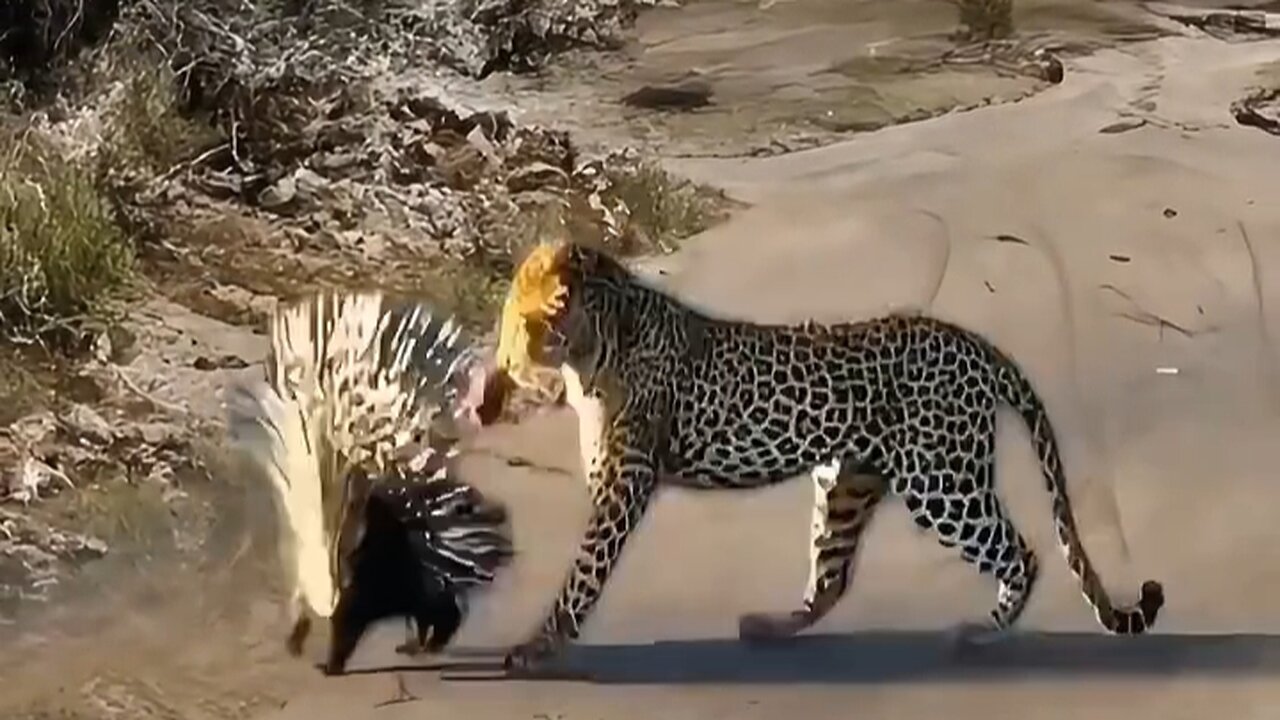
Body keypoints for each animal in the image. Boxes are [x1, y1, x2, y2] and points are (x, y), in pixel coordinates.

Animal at [486, 239, 1165, 673]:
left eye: (525, 324)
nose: (506, 364)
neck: (598, 341)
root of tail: (977, 345)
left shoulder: (622, 486)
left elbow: (583, 573)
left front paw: (537, 646)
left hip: (940, 480)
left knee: (1019, 552)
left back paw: (978, 635)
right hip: (846, 481)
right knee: (833, 576)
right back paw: (768, 627)